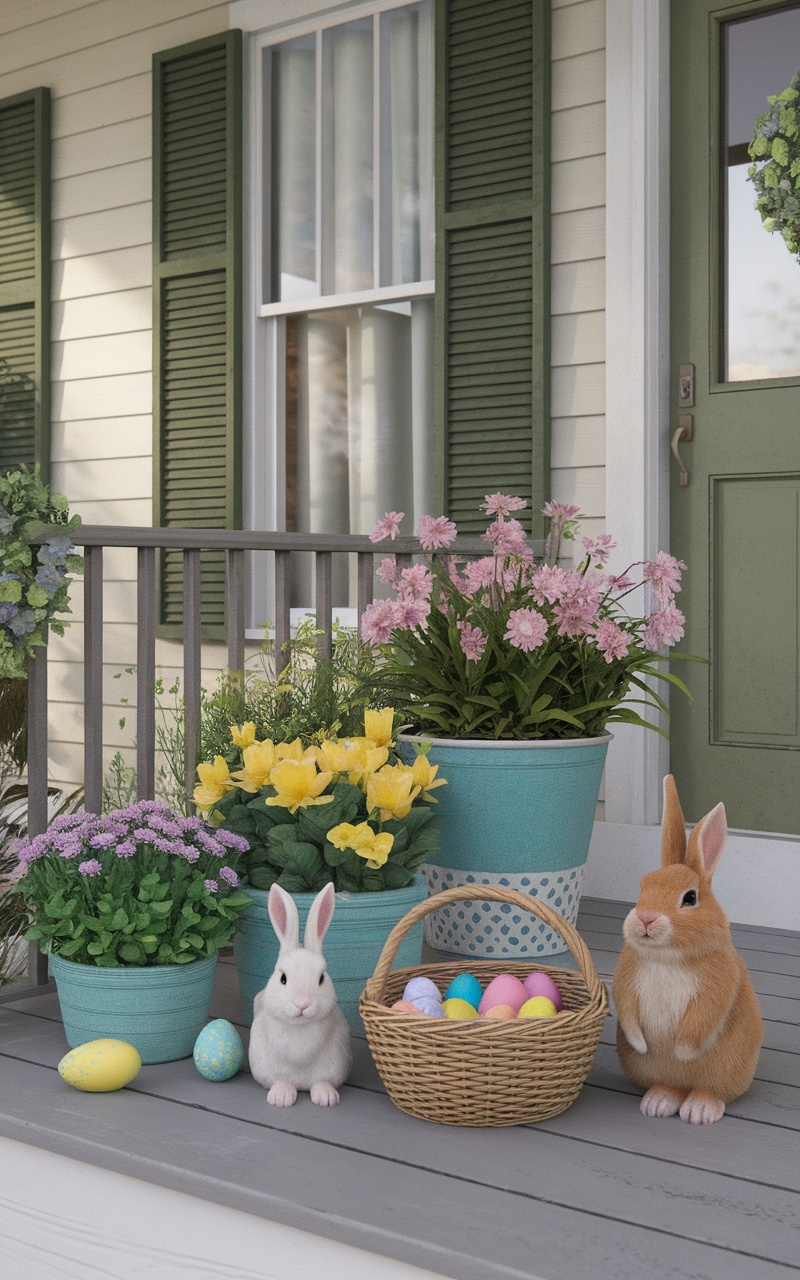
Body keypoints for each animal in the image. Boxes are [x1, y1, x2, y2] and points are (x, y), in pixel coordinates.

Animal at [248, 885, 350, 1105]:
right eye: (283, 978)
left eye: (321, 978)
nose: (303, 1004)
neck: (300, 1026)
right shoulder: (269, 1068)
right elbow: (279, 1081)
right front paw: (281, 1098)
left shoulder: (333, 1067)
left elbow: (323, 1082)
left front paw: (327, 1098)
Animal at [611, 768, 762, 1121]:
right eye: (643, 886)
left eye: (690, 898)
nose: (646, 919)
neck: (667, 956)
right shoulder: (626, 981)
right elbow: (627, 1011)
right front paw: (641, 1043)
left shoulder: (717, 986)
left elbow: (703, 1019)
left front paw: (681, 1050)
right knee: (671, 1085)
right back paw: (658, 1102)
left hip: (726, 1069)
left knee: (710, 1089)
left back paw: (699, 1110)